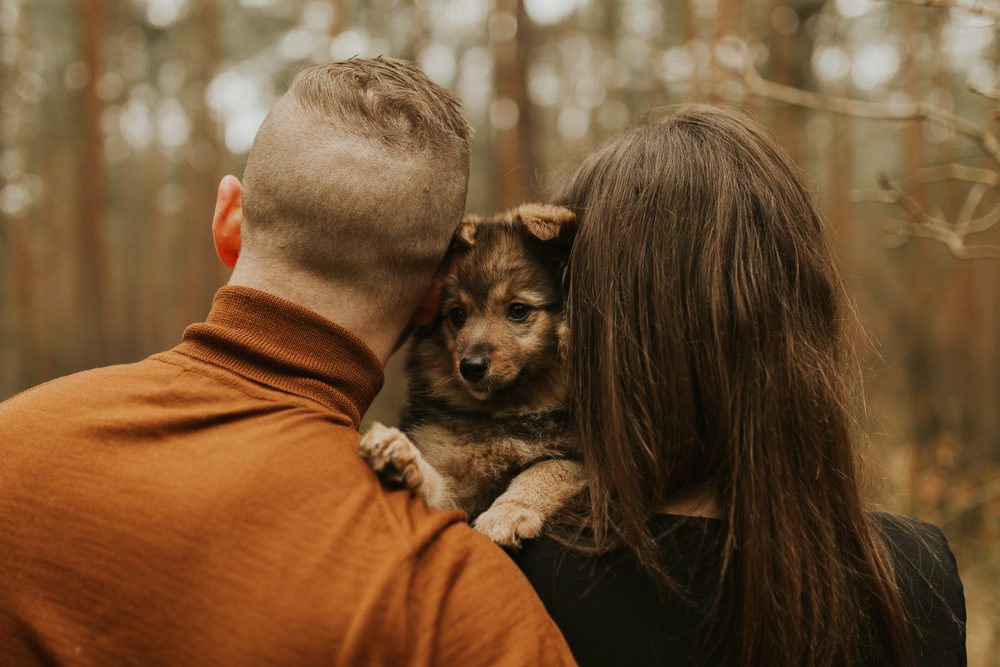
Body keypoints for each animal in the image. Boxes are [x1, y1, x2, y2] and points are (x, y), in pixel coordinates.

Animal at [360, 202, 584, 548]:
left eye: (518, 310)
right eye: (457, 315)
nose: (471, 367)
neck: (503, 417)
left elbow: (549, 466)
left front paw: (507, 512)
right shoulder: (455, 483)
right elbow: (438, 489)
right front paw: (404, 458)